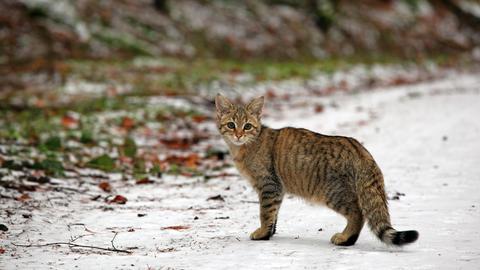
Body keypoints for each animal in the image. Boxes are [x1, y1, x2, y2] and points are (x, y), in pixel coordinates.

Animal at [216, 94, 418, 246]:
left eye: (247, 126)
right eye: (231, 125)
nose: (238, 135)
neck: (245, 147)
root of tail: (360, 149)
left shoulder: (269, 185)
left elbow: (265, 213)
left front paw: (263, 233)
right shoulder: (277, 189)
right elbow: (274, 214)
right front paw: (270, 232)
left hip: (333, 193)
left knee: (358, 213)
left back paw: (345, 238)